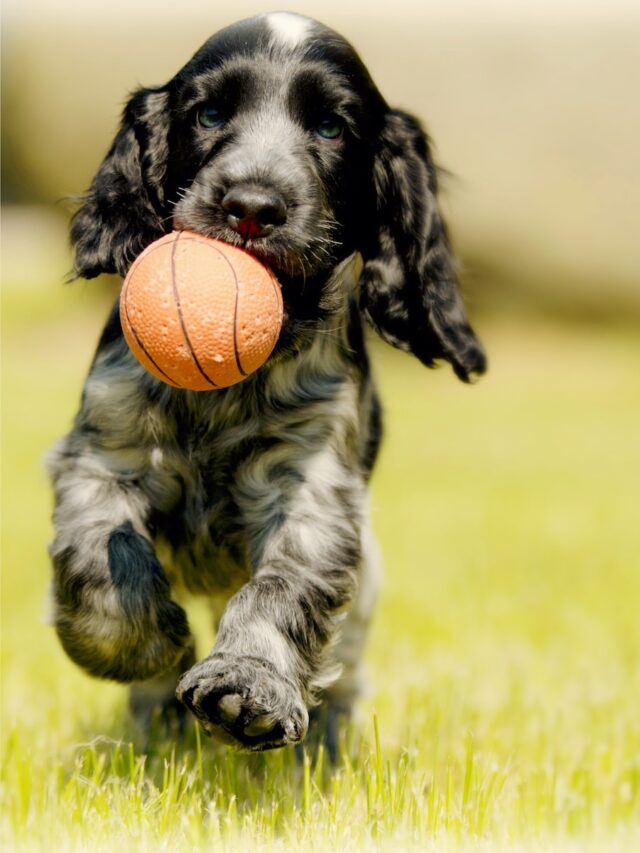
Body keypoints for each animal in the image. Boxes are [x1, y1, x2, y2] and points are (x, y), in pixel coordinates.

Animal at [46, 10, 484, 748]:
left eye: (331, 127)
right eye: (209, 114)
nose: (252, 205)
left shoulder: (311, 484)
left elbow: (282, 586)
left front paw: (248, 686)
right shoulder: (105, 448)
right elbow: (101, 548)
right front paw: (142, 647)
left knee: (345, 663)